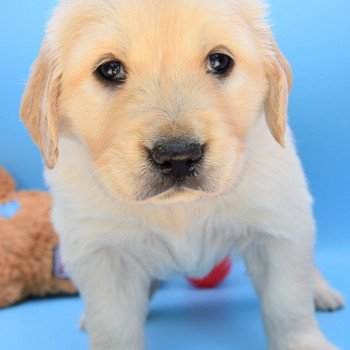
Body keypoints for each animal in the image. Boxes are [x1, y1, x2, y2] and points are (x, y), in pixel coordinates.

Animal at [20, 0, 344, 348]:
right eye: (109, 70)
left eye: (219, 61)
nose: (177, 157)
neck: (178, 208)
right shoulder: (103, 254)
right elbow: (113, 326)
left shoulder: (276, 227)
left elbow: (288, 303)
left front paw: (304, 341)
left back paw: (321, 291)